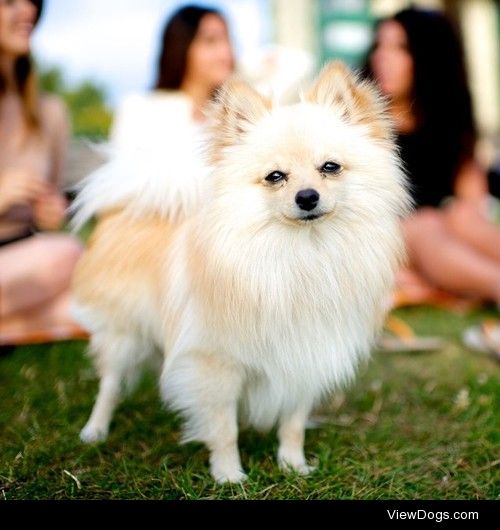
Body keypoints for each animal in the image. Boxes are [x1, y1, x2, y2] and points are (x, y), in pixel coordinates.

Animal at [72, 63, 412, 482]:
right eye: (275, 176)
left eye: (330, 167)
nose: (307, 197)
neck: (303, 253)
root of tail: (129, 205)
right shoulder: (215, 363)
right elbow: (224, 427)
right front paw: (229, 475)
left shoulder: (305, 357)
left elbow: (293, 423)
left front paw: (293, 464)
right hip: (123, 335)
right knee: (110, 384)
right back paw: (95, 430)